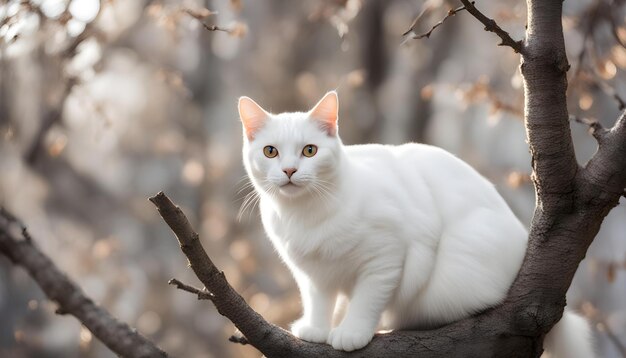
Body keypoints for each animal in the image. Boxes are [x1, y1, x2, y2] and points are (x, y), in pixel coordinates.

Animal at [236, 91, 592, 356]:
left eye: (309, 151)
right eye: (270, 152)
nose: (290, 171)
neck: (305, 214)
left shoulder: (385, 257)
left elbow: (366, 301)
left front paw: (352, 332)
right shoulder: (313, 275)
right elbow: (318, 301)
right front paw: (316, 329)